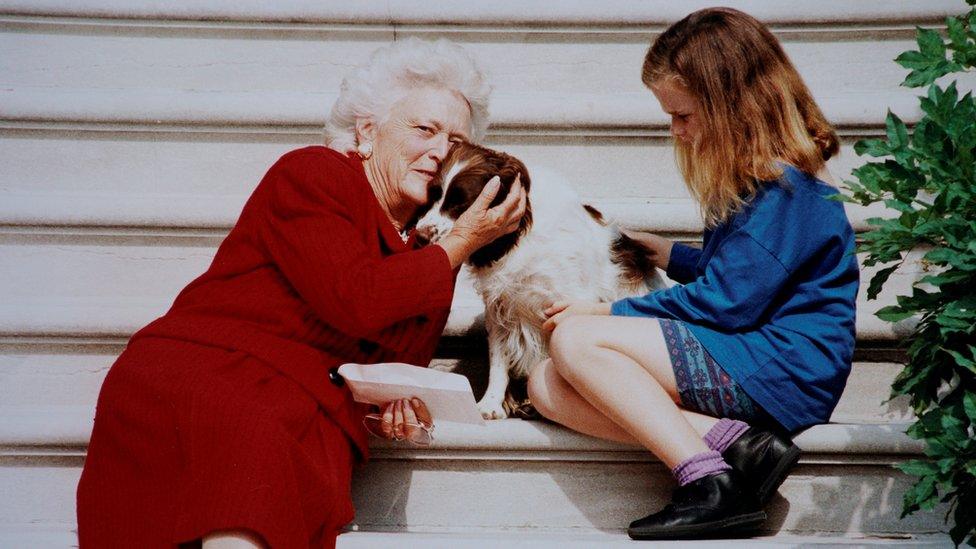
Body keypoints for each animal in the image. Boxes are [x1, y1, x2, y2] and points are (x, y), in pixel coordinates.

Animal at [416, 142, 668, 420]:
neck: (522, 236)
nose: (419, 235)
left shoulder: (567, 303)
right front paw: (491, 404)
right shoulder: (500, 307)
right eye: (434, 194)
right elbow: (499, 359)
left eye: (461, 203)